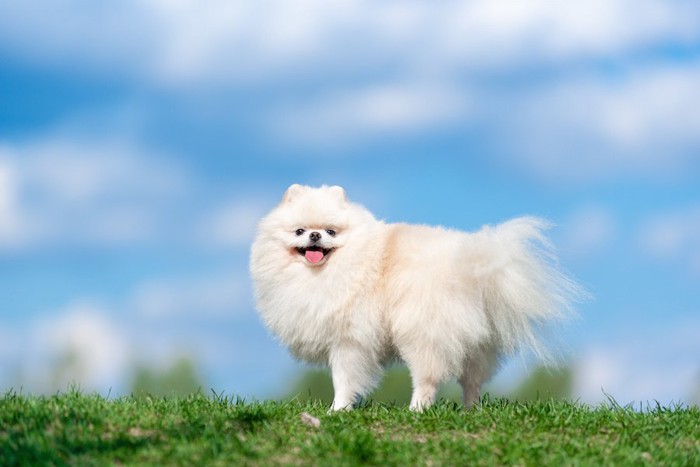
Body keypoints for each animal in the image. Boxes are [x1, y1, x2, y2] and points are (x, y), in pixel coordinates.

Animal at [249, 185, 584, 412]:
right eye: (300, 231)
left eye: (331, 231)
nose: (315, 236)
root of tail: (473, 264)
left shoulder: (349, 340)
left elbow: (343, 379)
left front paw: (337, 411)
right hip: (475, 342)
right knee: (472, 381)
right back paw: (470, 410)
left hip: (423, 330)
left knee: (427, 377)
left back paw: (417, 410)